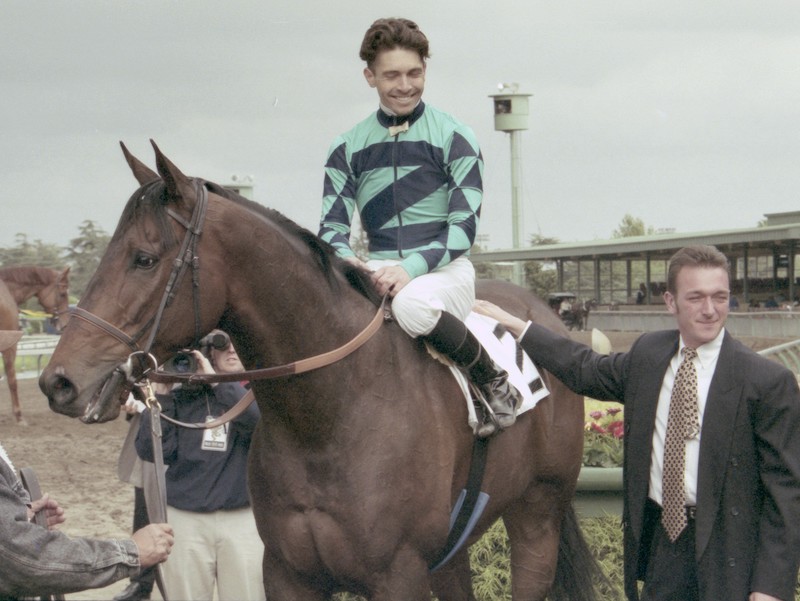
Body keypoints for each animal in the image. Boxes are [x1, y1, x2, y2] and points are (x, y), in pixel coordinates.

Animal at [39, 142, 600, 600]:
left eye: (144, 259)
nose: (57, 381)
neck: (330, 416)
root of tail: (542, 316)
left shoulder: (398, 574)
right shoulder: (289, 572)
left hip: (538, 512)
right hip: (454, 545)